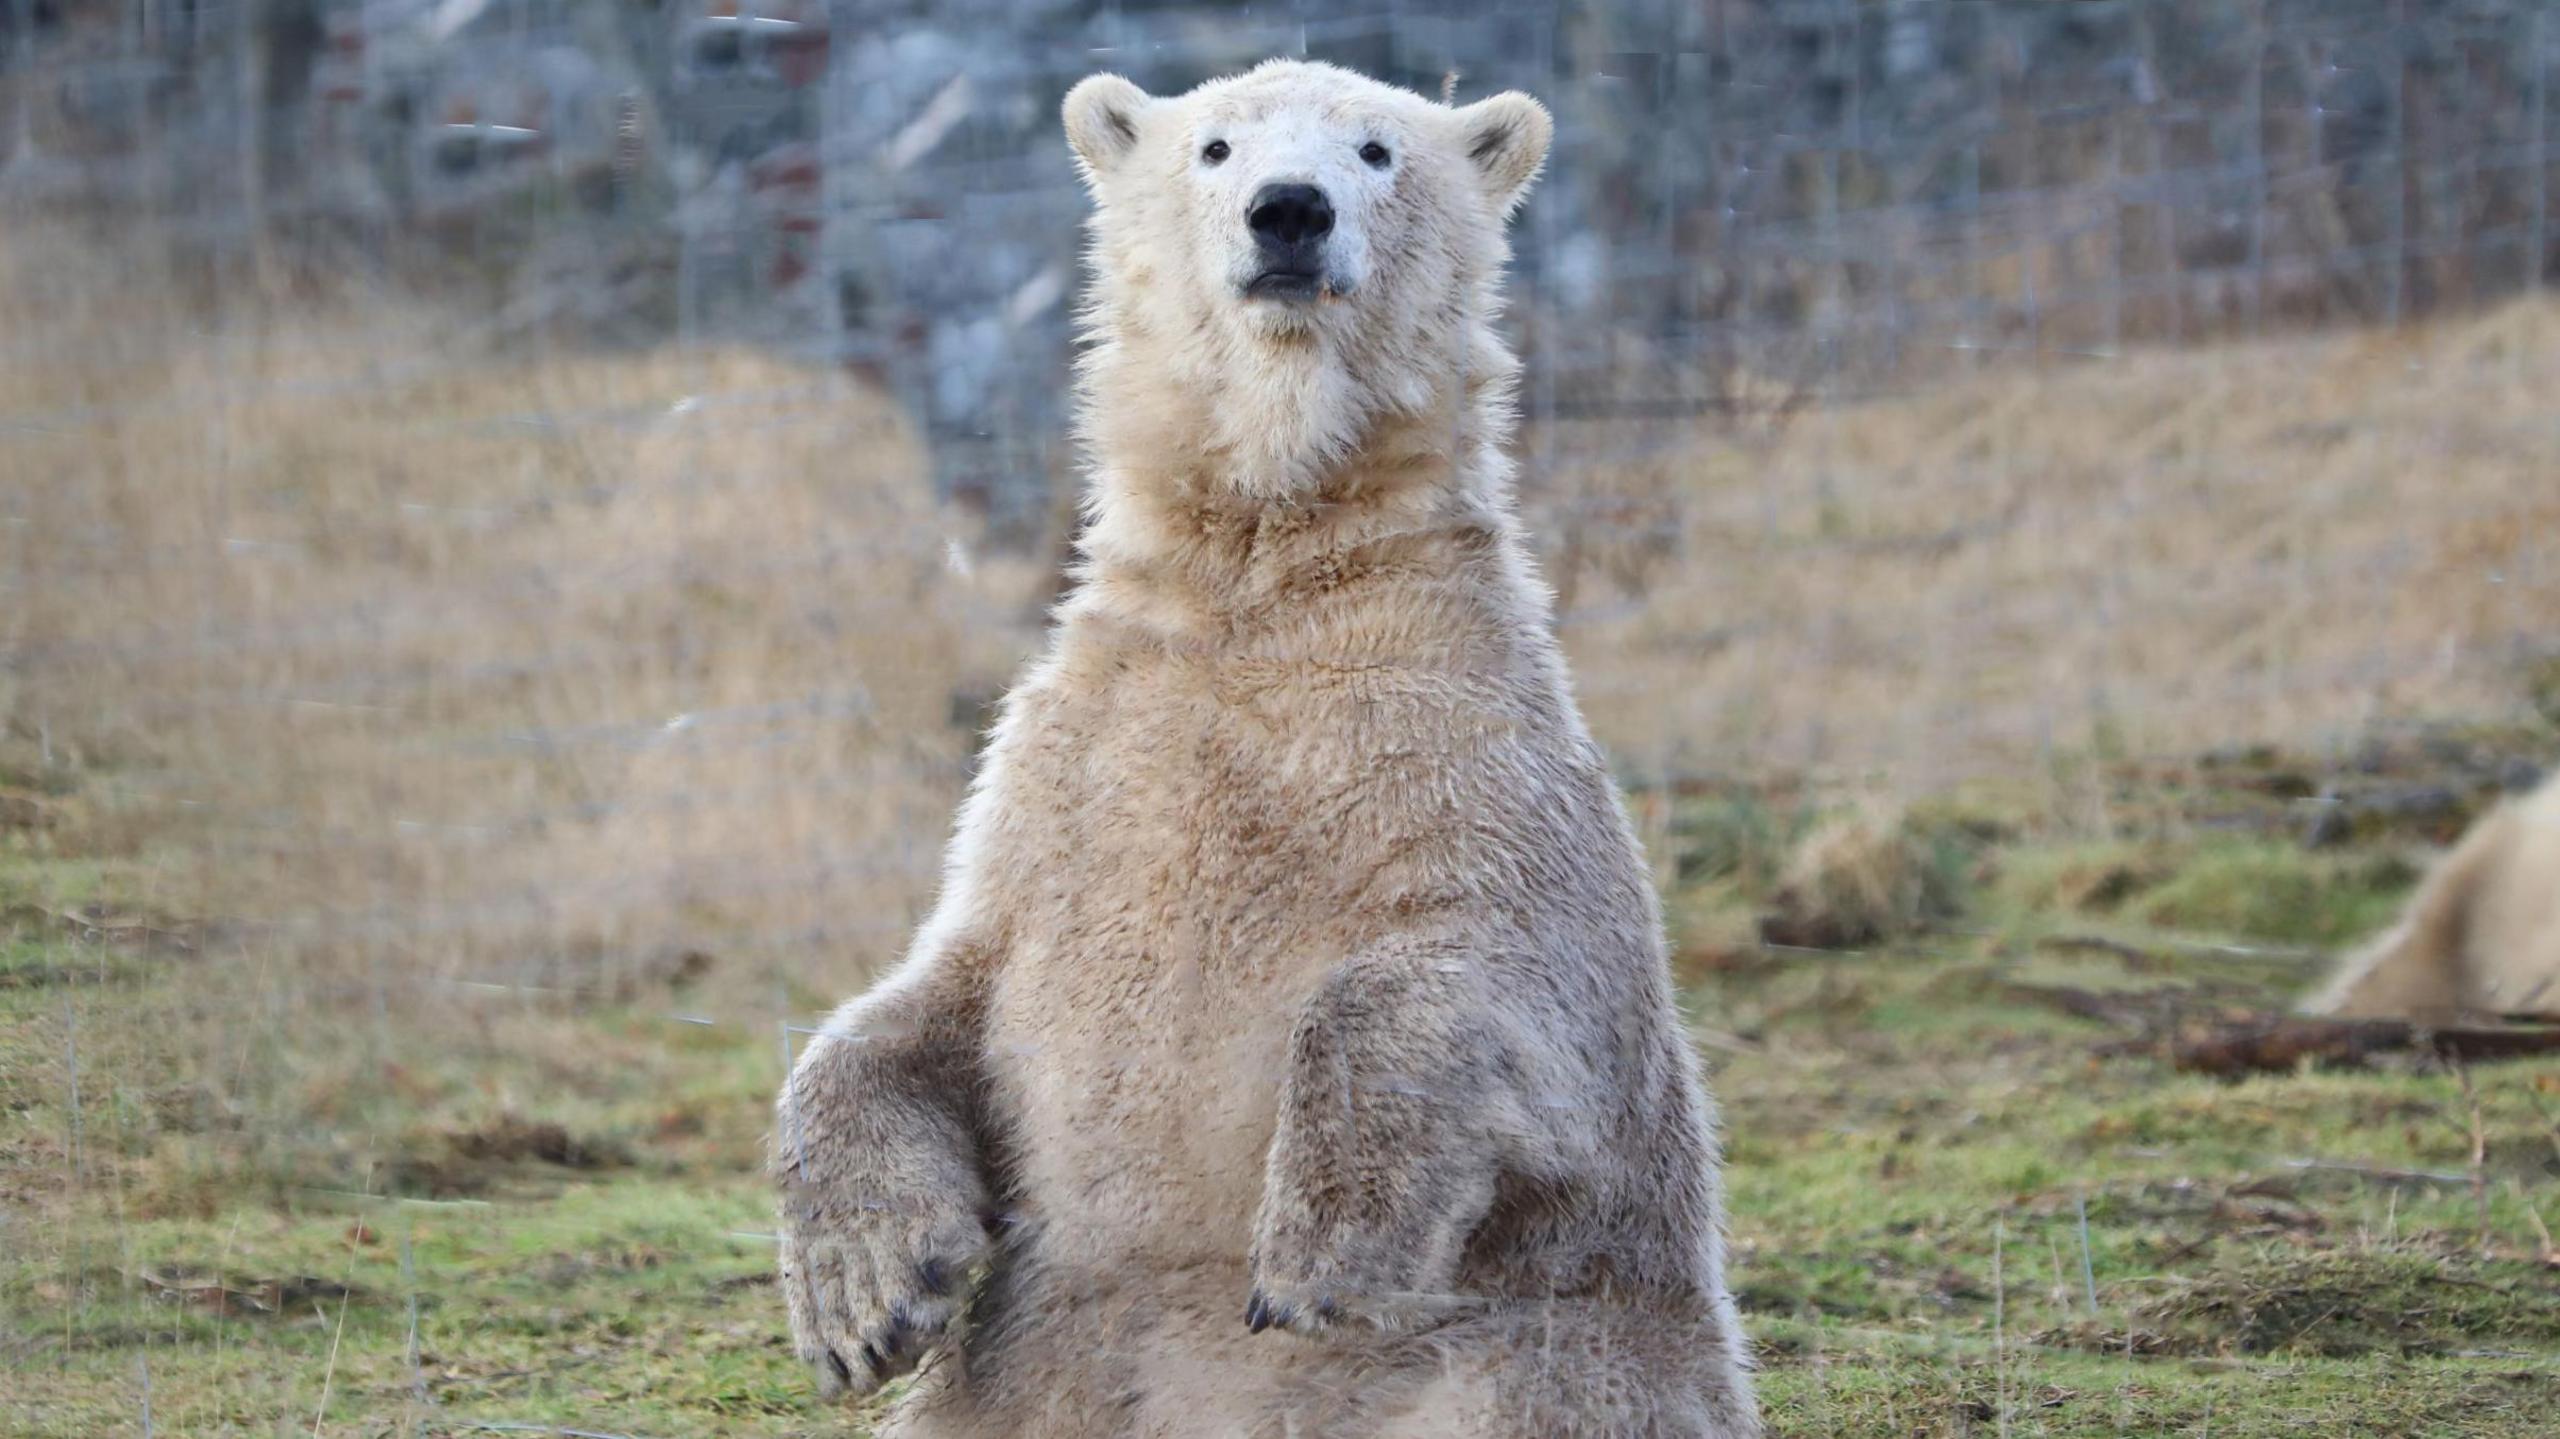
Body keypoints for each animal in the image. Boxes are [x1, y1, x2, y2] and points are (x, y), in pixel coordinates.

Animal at [773, 60, 1759, 1439]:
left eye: (1378, 149)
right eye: (1215, 146)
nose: (1290, 211)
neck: (1262, 574)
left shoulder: (1461, 735)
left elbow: (1511, 971)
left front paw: (1318, 1253)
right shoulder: (1063, 762)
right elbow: (933, 987)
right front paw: (866, 1292)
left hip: (1552, 1342)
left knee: (1537, 1388)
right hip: (1031, 1367)